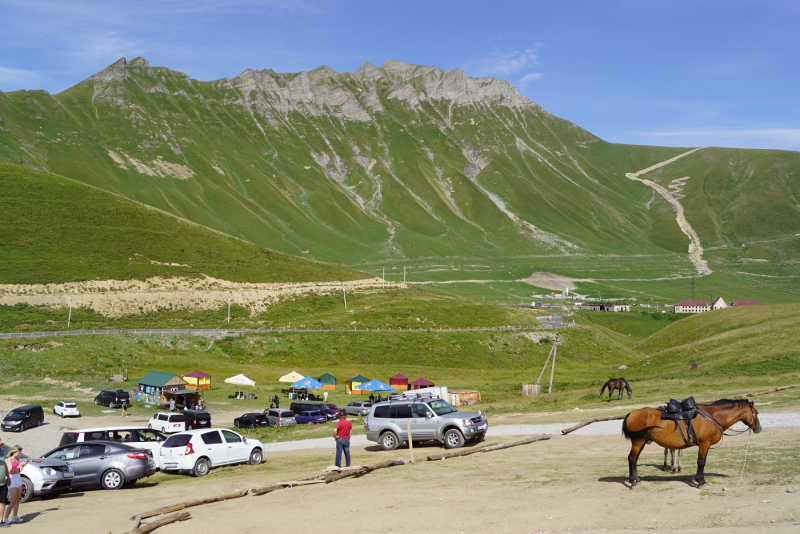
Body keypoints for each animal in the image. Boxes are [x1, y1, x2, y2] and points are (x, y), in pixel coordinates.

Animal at [620, 400, 760, 488]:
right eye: (756, 413)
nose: (758, 428)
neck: (712, 416)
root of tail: (631, 413)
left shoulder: (706, 445)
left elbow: (702, 461)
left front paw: (699, 479)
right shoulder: (704, 443)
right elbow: (701, 462)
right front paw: (701, 481)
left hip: (642, 441)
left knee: (635, 459)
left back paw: (637, 480)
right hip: (638, 441)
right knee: (631, 458)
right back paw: (632, 482)